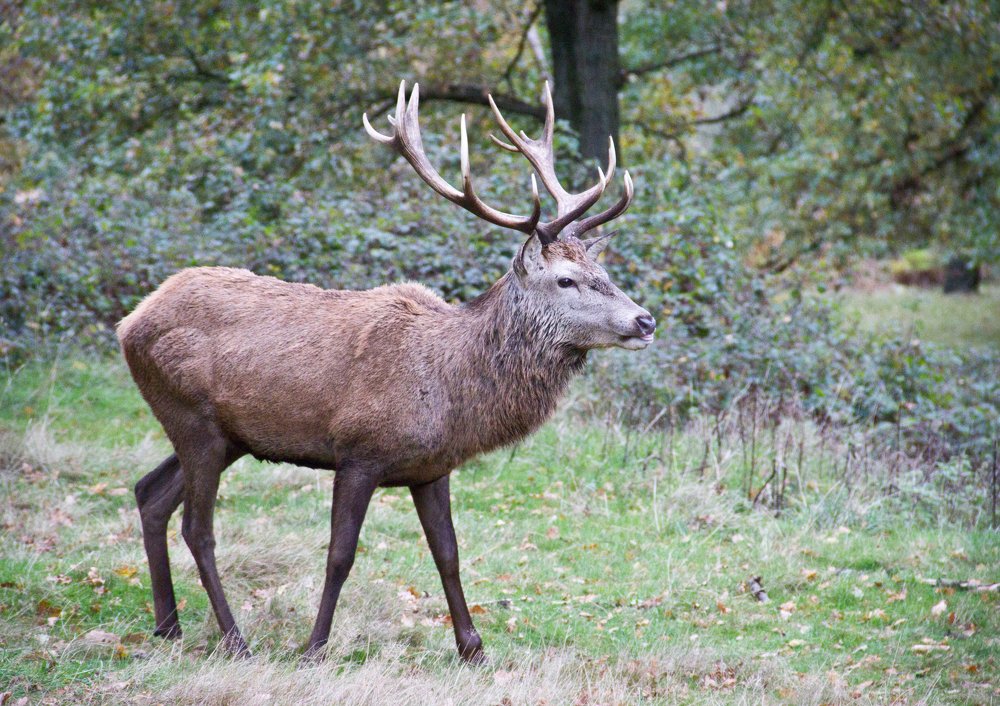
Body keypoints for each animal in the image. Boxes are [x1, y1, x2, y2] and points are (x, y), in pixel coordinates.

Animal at [117, 80, 655, 665]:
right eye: (565, 280)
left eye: (601, 271)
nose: (645, 320)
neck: (449, 388)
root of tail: (129, 322)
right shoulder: (358, 451)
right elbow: (340, 555)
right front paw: (314, 648)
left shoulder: (432, 468)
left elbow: (448, 553)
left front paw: (473, 649)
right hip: (193, 420)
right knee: (198, 528)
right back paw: (235, 640)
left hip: (226, 434)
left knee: (150, 493)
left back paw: (168, 626)